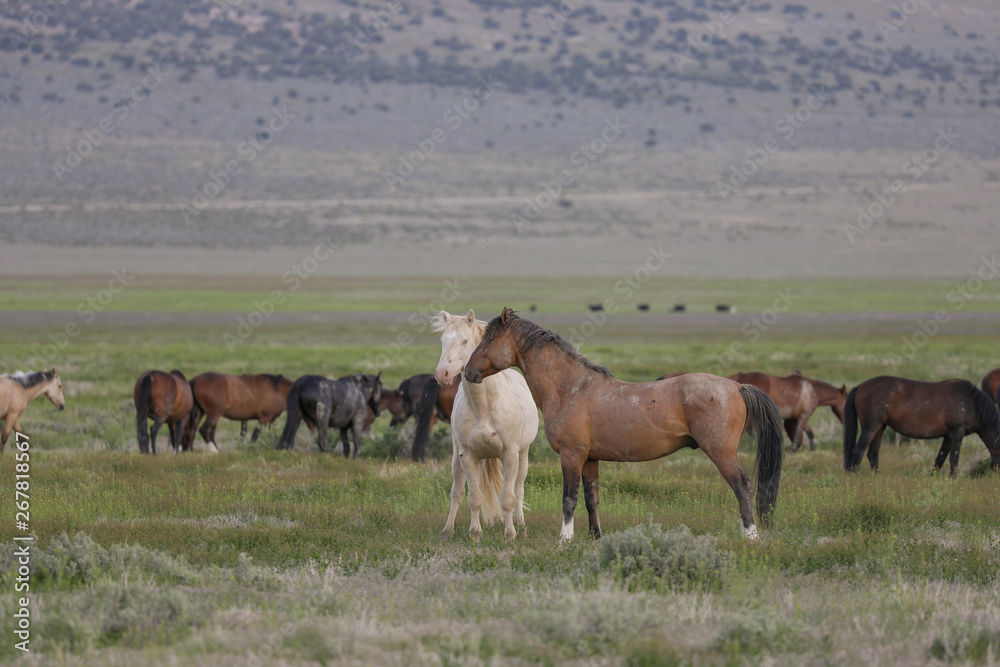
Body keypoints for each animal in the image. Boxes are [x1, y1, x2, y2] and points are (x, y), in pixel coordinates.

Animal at [430, 312, 540, 544]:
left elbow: (508, 498)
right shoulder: (468, 456)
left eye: (464, 341)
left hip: (523, 455)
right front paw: (475, 533)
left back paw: (522, 526)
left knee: (518, 490)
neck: (483, 406)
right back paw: (448, 529)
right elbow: (474, 498)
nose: (443, 374)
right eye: (443, 341)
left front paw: (510, 534)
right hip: (458, 458)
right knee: (457, 492)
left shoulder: (510, 454)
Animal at [464, 308, 784, 544]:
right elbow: (591, 498)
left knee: (743, 486)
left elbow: (569, 499)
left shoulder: (571, 456)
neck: (571, 388)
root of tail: (737, 386)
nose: (468, 372)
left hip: (721, 453)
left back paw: (750, 536)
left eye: (488, 340)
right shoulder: (589, 459)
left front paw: (564, 539)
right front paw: (595, 537)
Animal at [844, 376, 1000, 474]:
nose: (995, 472)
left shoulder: (948, 436)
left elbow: (940, 459)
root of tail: (860, 387)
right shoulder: (957, 433)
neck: (971, 403)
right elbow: (954, 459)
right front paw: (953, 479)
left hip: (879, 428)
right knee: (858, 451)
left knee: (872, 454)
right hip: (870, 429)